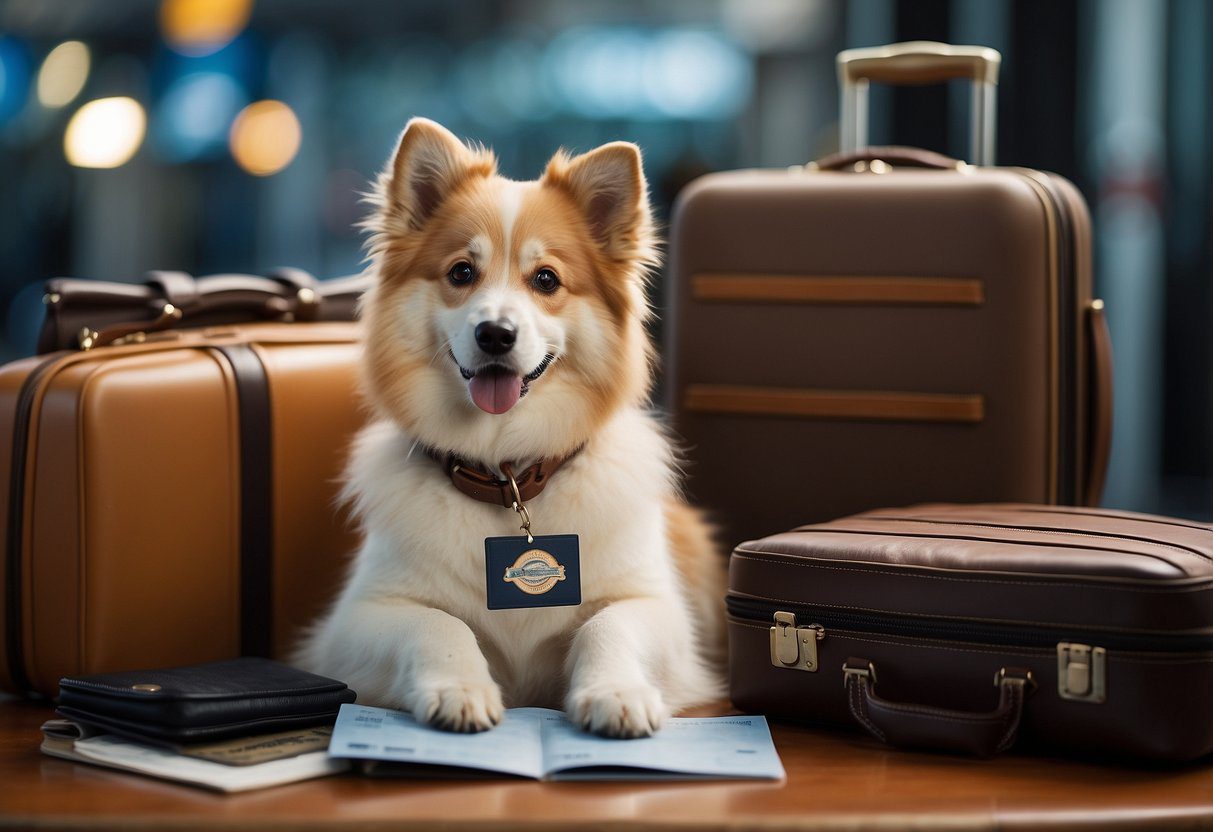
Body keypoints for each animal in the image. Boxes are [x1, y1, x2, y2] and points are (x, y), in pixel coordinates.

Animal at [297, 117, 722, 737]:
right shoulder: (354, 623)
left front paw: (615, 692)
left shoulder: (659, 610)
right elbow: (439, 624)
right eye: (461, 273)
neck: (507, 473)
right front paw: (459, 688)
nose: (495, 333)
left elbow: (608, 624)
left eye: (545, 279)